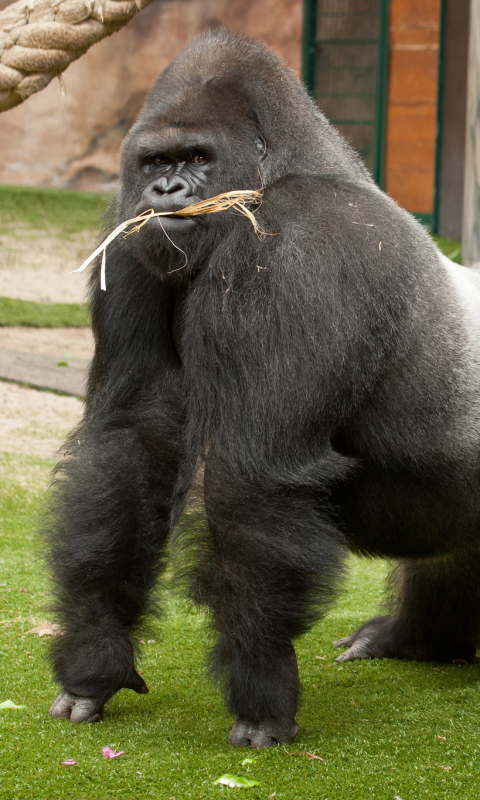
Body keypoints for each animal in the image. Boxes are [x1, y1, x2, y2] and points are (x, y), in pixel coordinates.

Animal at [47, 28, 480, 748]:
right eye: (156, 160)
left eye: (198, 158)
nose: (166, 188)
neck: (283, 170)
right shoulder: (129, 233)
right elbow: (132, 441)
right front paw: (94, 659)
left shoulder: (301, 246)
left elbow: (250, 478)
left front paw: (261, 688)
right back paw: (413, 639)